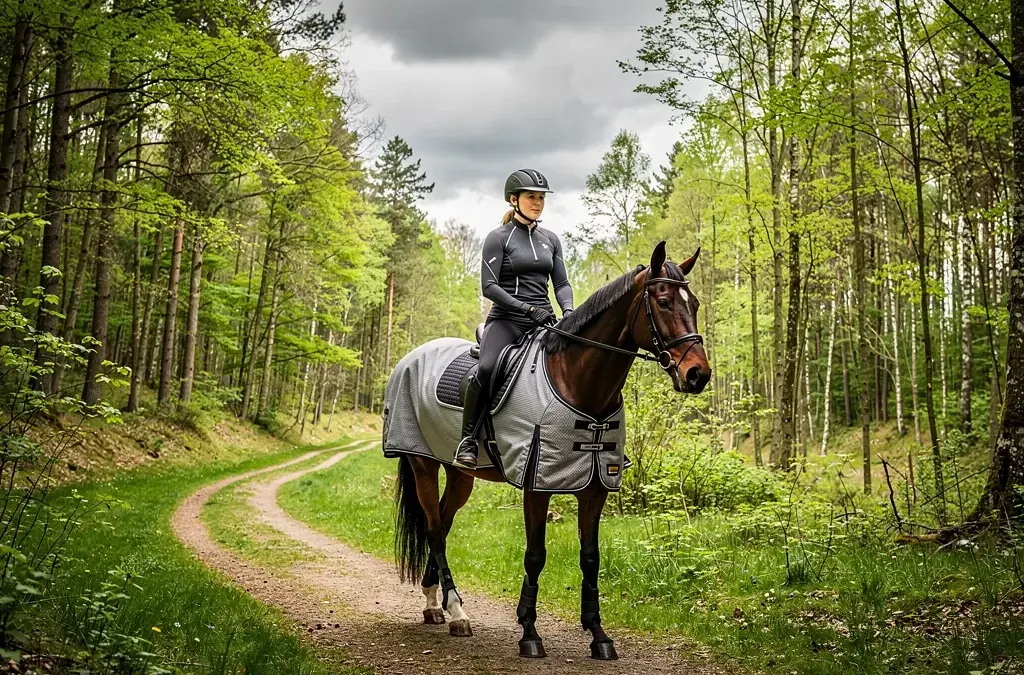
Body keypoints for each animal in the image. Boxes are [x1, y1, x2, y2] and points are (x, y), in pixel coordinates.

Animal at [385, 241, 711, 660]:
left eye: (695, 303)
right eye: (665, 301)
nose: (698, 375)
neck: (576, 380)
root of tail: (410, 359)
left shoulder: (595, 485)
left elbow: (591, 558)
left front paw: (598, 634)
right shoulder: (536, 481)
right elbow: (535, 555)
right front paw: (529, 632)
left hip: (459, 474)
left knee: (442, 520)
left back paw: (433, 602)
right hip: (422, 463)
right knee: (436, 530)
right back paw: (456, 612)